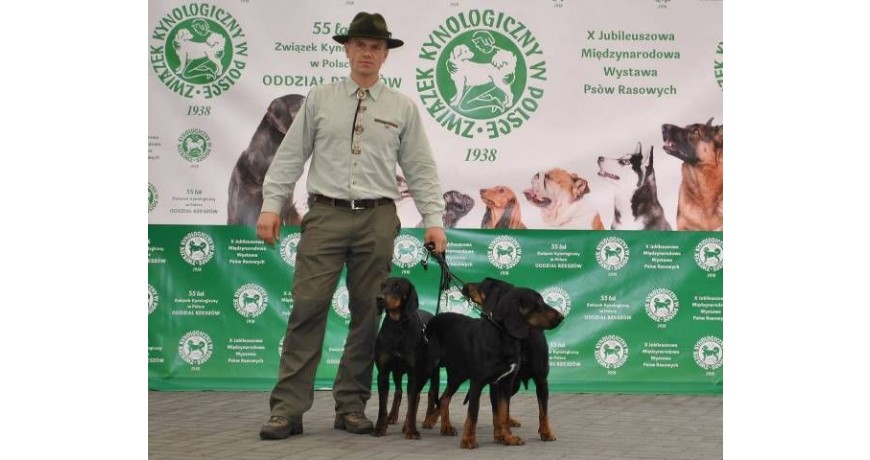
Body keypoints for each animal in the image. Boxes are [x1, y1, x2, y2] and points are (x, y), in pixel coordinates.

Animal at [372, 276, 440, 438]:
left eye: (397, 286)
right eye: (383, 286)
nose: (379, 298)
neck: (398, 326)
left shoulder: (413, 373)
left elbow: (413, 402)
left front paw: (412, 430)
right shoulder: (383, 372)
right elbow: (382, 405)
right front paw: (380, 427)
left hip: (431, 370)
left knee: (428, 393)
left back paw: (427, 420)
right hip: (398, 372)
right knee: (399, 392)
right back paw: (392, 416)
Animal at [424, 278, 564, 448]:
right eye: (538, 302)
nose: (562, 316)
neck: (505, 336)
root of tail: (433, 319)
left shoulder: (507, 383)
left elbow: (504, 413)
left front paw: (508, 437)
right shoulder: (478, 383)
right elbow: (474, 414)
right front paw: (469, 440)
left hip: (458, 375)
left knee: (444, 399)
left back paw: (446, 427)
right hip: (430, 368)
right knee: (432, 395)